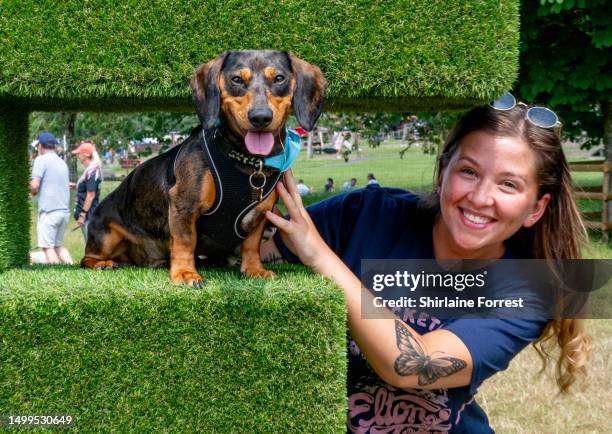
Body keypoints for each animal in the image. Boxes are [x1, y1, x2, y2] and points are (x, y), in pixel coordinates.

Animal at [82, 50, 330, 286]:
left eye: (279, 78)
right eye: (236, 79)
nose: (260, 117)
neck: (247, 162)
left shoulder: (261, 213)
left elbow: (252, 244)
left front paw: (254, 270)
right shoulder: (184, 204)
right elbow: (184, 240)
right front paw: (184, 273)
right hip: (106, 236)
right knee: (86, 259)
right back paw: (104, 264)